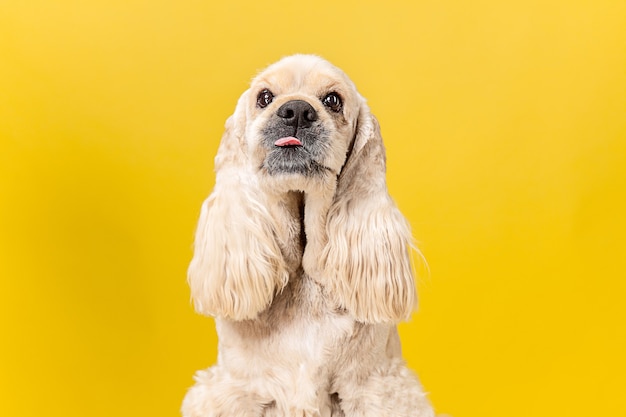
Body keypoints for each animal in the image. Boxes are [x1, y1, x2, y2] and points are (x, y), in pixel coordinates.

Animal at [180, 55, 434, 416]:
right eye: (264, 97)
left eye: (333, 100)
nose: (296, 110)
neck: (303, 277)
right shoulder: (237, 389)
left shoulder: (375, 387)